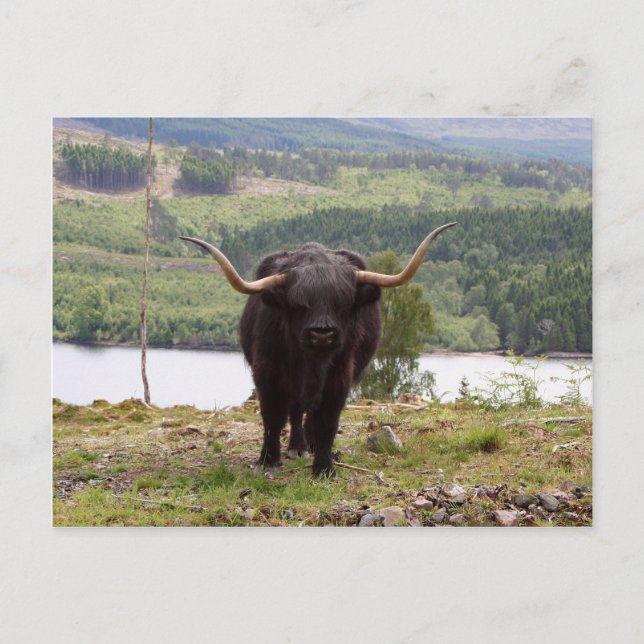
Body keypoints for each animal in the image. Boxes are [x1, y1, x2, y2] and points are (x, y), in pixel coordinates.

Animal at [180, 222, 455, 477]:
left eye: (342, 302)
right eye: (298, 304)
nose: (322, 334)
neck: (312, 364)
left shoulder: (340, 377)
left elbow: (327, 421)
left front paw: (324, 468)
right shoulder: (267, 373)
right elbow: (272, 417)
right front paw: (268, 461)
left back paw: (309, 446)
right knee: (294, 411)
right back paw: (297, 447)